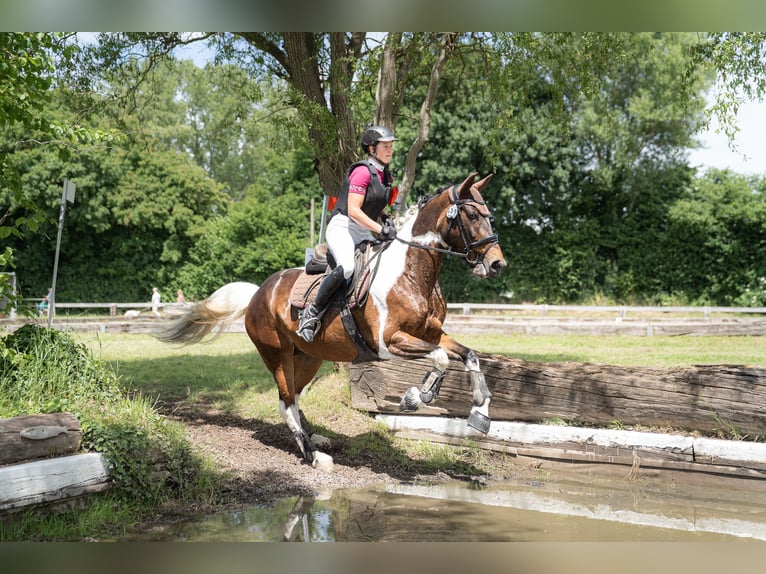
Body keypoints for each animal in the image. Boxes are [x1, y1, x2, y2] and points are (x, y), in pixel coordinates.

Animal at [157, 172, 506, 470]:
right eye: (472, 216)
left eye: (489, 215)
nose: (497, 264)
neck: (411, 272)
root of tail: (259, 293)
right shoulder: (388, 342)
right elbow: (441, 358)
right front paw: (415, 396)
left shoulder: (431, 333)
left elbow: (468, 356)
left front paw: (480, 411)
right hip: (277, 354)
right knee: (285, 401)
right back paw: (312, 455)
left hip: (308, 357)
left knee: (295, 396)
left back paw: (316, 437)